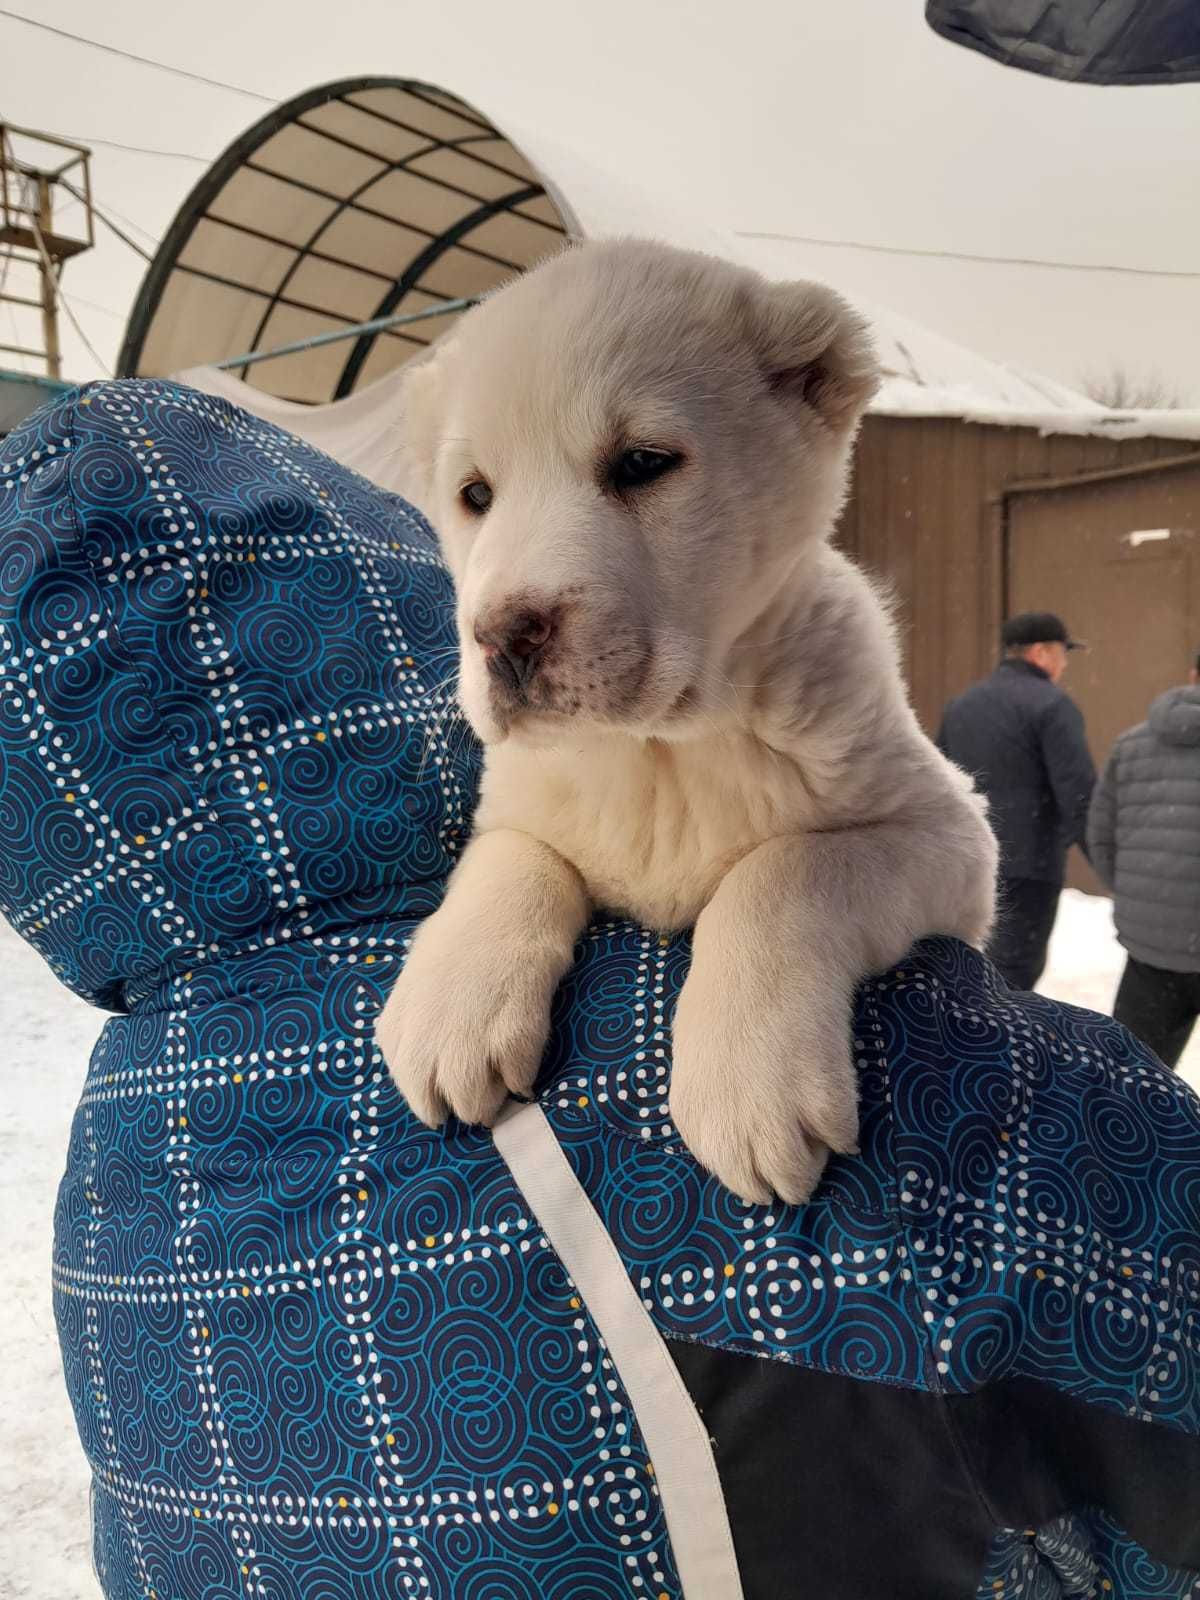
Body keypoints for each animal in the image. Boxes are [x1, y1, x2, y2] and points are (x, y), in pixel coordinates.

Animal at [376, 240, 998, 1203]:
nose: (502, 635)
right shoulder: (521, 804)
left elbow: (785, 869)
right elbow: (511, 858)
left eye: (641, 463)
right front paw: (454, 1005)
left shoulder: (952, 837)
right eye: (475, 494)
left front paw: (751, 1080)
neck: (656, 754)